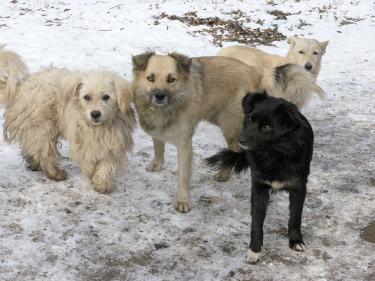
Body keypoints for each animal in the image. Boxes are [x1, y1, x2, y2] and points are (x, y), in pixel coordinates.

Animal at [0, 46, 135, 192]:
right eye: (86, 97)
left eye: (106, 97)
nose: (95, 114)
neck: (98, 128)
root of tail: (21, 87)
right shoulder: (81, 138)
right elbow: (88, 160)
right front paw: (93, 174)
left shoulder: (115, 141)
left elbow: (108, 163)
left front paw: (102, 181)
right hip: (43, 127)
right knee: (43, 151)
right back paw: (54, 172)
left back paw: (34, 163)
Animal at [209, 92, 314, 262]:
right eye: (251, 119)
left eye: (267, 126)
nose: (241, 140)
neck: (274, 154)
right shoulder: (259, 186)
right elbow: (257, 221)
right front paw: (254, 249)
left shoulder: (299, 188)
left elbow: (295, 217)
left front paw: (295, 240)